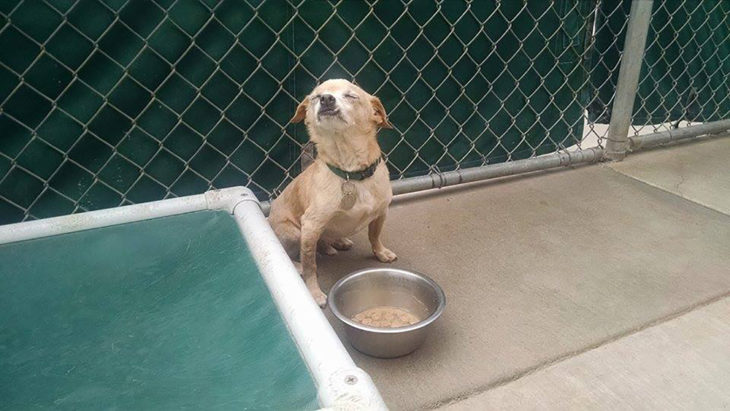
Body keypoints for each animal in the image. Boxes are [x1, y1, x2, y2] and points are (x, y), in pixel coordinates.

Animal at [266, 79, 396, 308]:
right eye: (316, 97)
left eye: (351, 96)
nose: (326, 99)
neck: (350, 173)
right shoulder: (310, 225)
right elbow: (311, 265)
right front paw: (314, 293)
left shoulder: (381, 212)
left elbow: (374, 235)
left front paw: (381, 253)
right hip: (296, 233)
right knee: (294, 254)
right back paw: (298, 265)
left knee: (323, 240)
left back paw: (336, 242)